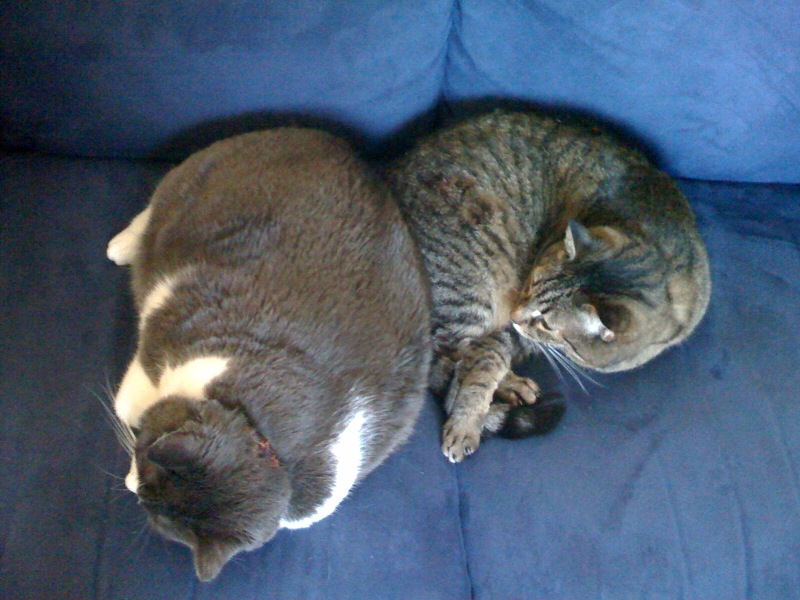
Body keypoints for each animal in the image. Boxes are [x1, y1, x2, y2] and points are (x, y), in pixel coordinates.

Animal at [108, 127, 432, 580]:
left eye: (153, 512)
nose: (129, 485)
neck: (261, 433)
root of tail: (339, 146)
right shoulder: (171, 317)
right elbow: (127, 403)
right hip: (192, 179)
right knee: (155, 205)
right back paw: (122, 246)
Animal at [388, 109, 712, 464]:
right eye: (529, 282)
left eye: (546, 322)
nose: (515, 314)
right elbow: (480, 367)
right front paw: (466, 422)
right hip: (465, 290)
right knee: (450, 357)